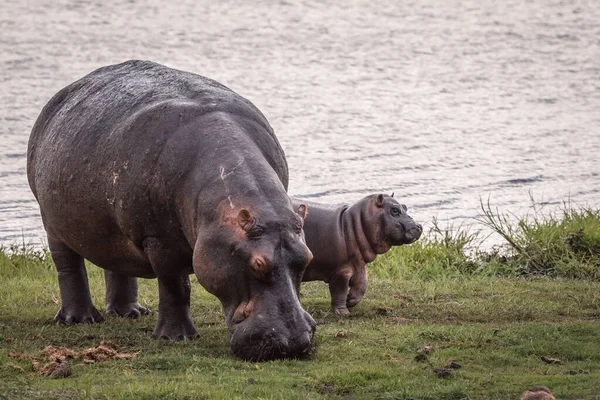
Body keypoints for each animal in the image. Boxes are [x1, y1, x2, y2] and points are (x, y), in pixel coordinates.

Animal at [28, 60, 316, 362]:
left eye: (307, 258)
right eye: (257, 264)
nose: (293, 342)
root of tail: (68, 90)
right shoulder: (158, 239)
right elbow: (175, 286)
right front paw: (176, 338)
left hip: (111, 226)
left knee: (117, 262)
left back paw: (131, 313)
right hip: (52, 221)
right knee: (68, 266)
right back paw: (80, 319)